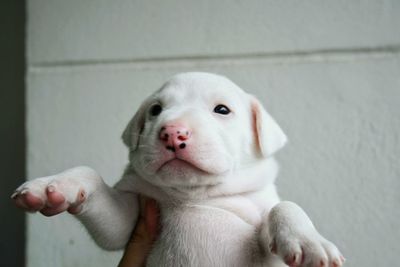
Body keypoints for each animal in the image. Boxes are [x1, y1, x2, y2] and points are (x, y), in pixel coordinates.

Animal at [12, 73, 344, 267]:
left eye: (222, 109)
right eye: (155, 110)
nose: (172, 132)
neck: (194, 195)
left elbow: (284, 206)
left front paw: (310, 242)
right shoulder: (131, 217)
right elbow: (97, 191)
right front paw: (52, 186)